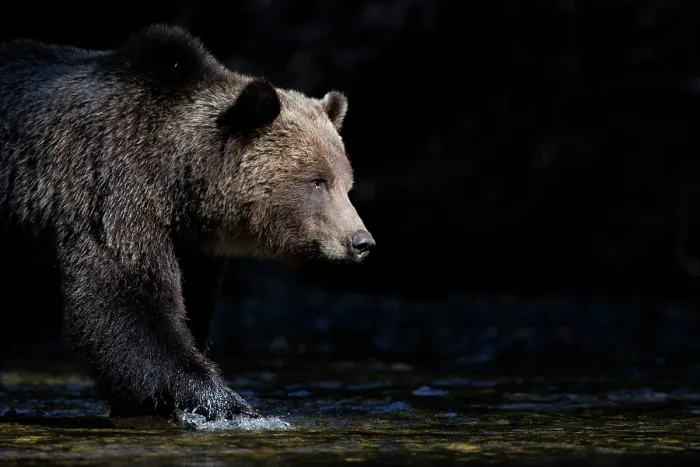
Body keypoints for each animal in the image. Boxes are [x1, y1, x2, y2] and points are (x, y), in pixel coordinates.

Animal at [0, 24, 375, 422]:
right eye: (317, 181)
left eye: (347, 183)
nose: (361, 241)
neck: (178, 182)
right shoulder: (111, 190)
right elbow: (122, 303)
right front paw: (230, 404)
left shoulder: (192, 246)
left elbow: (189, 306)